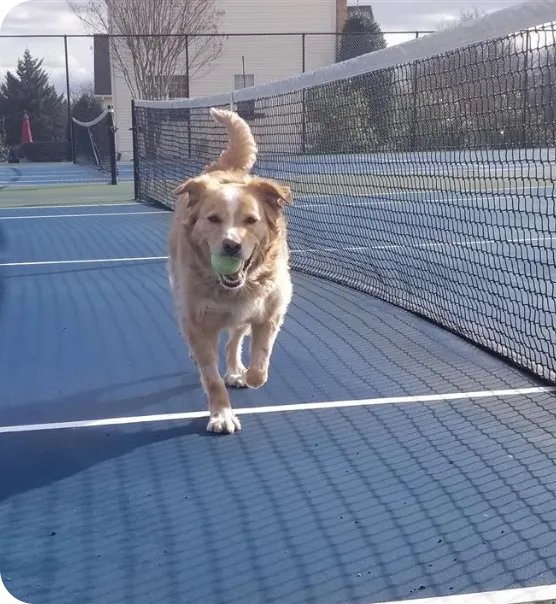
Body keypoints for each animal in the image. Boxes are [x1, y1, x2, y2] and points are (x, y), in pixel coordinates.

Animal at [168, 107, 293, 434]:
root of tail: (225, 170)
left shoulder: (269, 312)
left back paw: (236, 370)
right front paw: (221, 414)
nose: (231, 246)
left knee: (235, 339)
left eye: (251, 220)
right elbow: (211, 377)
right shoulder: (198, 321)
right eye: (213, 219)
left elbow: (260, 366)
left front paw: (246, 375)